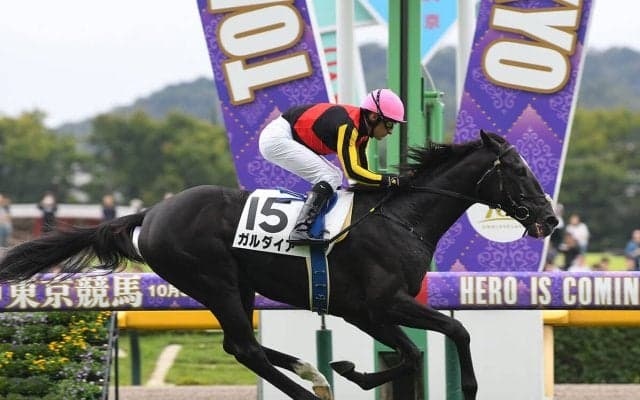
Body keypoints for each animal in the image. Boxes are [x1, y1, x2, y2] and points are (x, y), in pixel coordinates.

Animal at [0, 131, 558, 400]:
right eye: (517, 170)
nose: (550, 219)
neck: (400, 219)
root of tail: (151, 213)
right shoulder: (378, 306)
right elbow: (436, 342)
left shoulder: (365, 311)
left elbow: (419, 349)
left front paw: (345, 369)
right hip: (216, 281)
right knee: (244, 346)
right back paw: (310, 389)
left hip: (236, 286)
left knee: (238, 344)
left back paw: (312, 374)